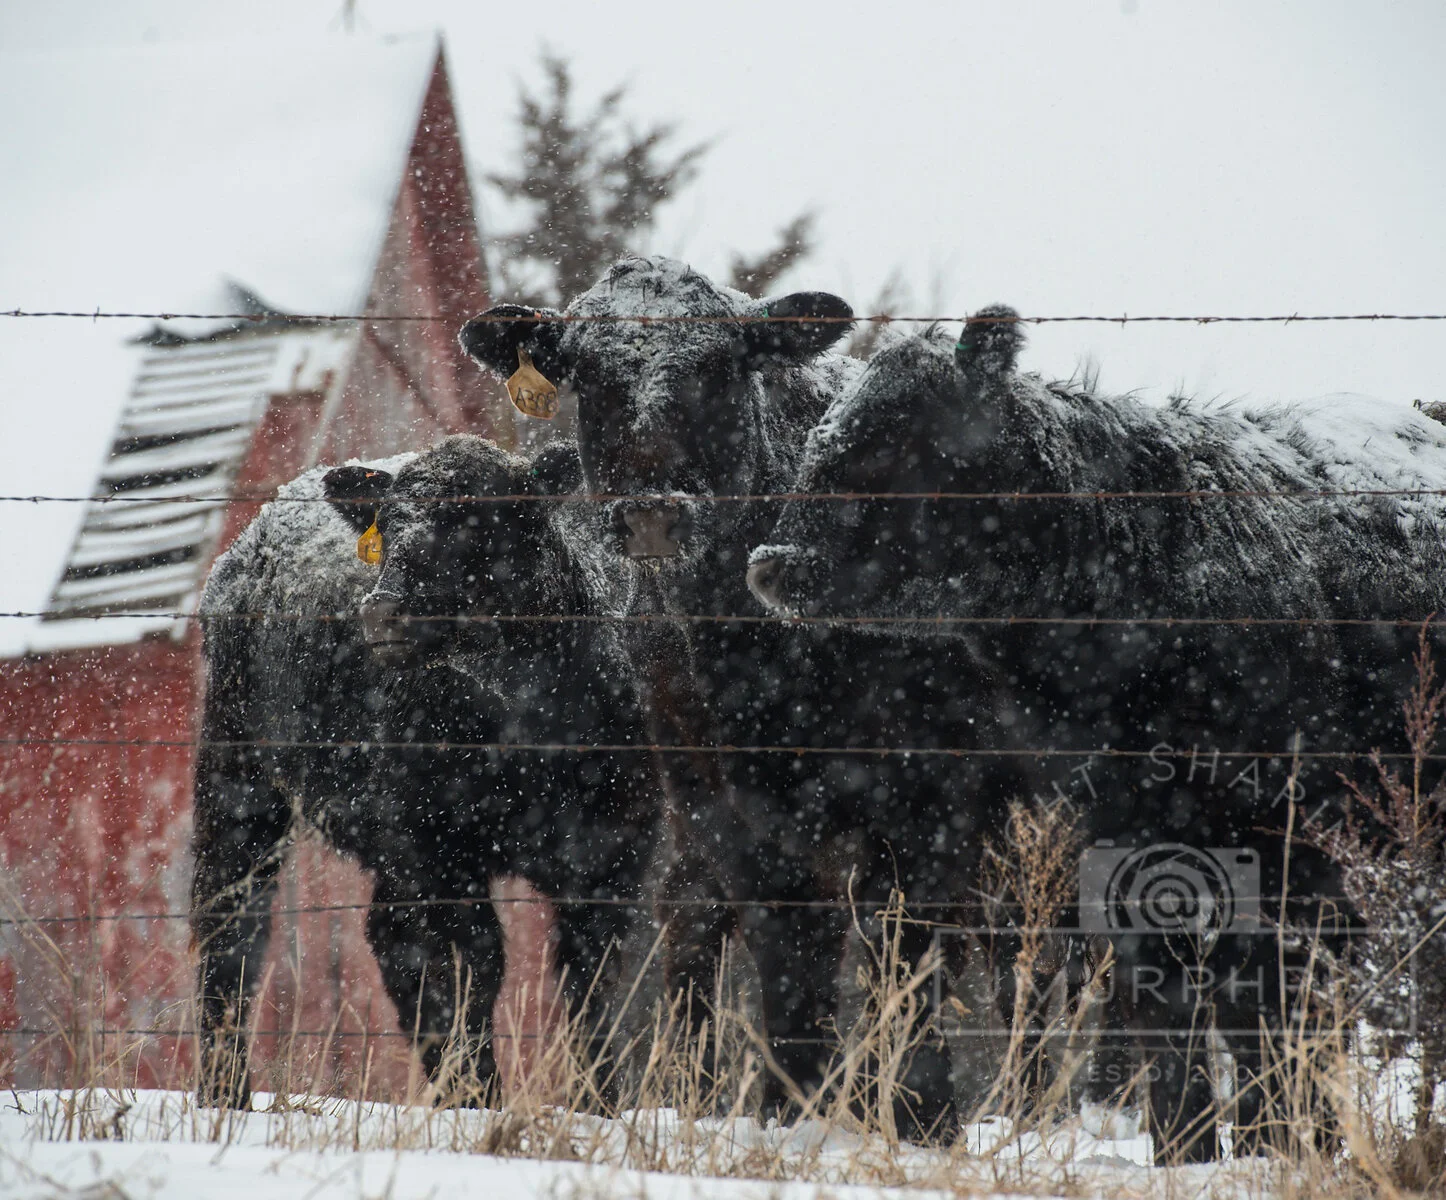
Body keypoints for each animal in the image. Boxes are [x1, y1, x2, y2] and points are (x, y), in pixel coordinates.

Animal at [191, 435, 659, 1108]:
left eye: (483, 521)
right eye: (388, 527)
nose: (382, 609)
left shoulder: (609, 856)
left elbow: (590, 987)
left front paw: (600, 1104)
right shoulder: (437, 856)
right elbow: (470, 973)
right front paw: (479, 1100)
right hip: (240, 775)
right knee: (230, 926)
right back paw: (223, 1093)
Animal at [457, 257, 1036, 1142]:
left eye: (718, 367)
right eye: (589, 374)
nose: (653, 515)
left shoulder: (928, 799)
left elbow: (903, 948)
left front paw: (916, 1113)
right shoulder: (731, 805)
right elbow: (787, 950)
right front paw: (792, 1109)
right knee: (695, 916)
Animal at [747, 308, 1446, 1162]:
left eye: (891, 443)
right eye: (821, 436)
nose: (770, 564)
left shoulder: (1294, 838)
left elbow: (1269, 1003)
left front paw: (1273, 1149)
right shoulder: (1120, 823)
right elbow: (1168, 995)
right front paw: (1193, 1151)